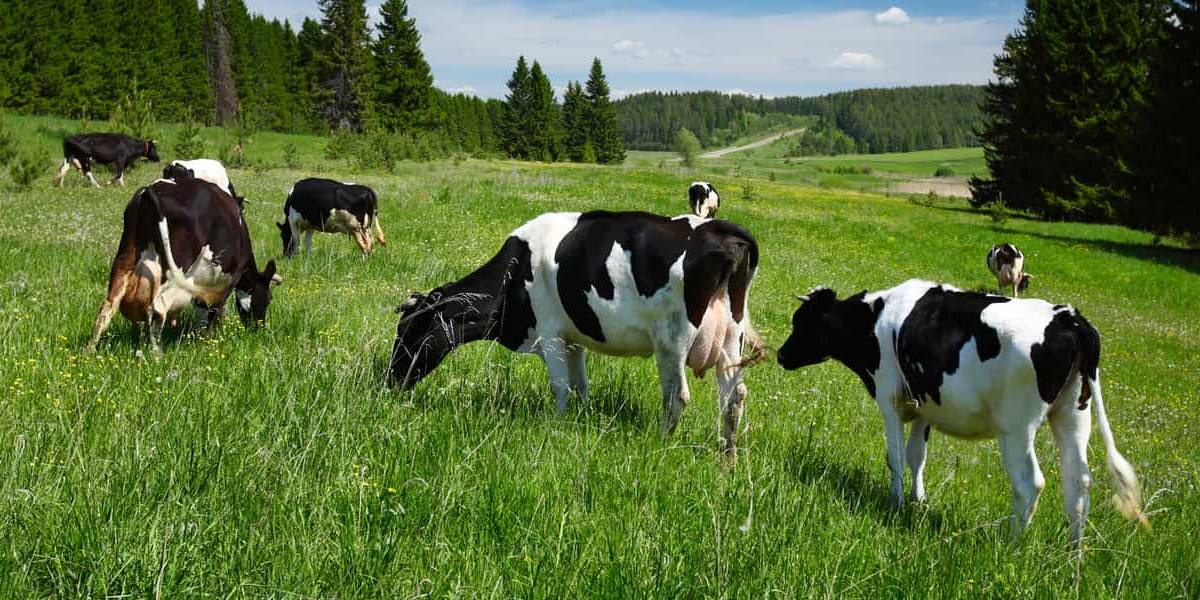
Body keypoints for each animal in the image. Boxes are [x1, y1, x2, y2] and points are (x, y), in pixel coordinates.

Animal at [84, 178, 281, 354]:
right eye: (268, 299)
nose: (258, 330)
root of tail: (151, 190)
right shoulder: (231, 279)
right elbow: (214, 312)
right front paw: (208, 344)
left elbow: (202, 311)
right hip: (177, 269)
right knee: (158, 308)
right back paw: (157, 355)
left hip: (124, 261)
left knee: (107, 307)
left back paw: (89, 352)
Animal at [389, 211, 764, 454]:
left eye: (409, 331)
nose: (390, 381)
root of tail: (723, 230)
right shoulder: (573, 340)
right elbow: (580, 386)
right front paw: (578, 422)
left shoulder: (550, 335)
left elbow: (560, 387)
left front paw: (556, 424)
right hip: (730, 338)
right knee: (734, 396)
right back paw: (727, 453)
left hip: (671, 338)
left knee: (677, 395)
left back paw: (661, 443)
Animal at [777, 279, 1146, 550]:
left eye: (800, 322)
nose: (780, 355)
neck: (876, 319)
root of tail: (1068, 317)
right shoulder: (924, 405)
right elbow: (917, 456)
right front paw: (919, 502)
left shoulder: (887, 395)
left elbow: (895, 456)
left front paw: (896, 502)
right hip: (1073, 415)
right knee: (1077, 483)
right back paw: (1073, 555)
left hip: (1017, 427)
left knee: (1030, 483)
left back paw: (1013, 545)